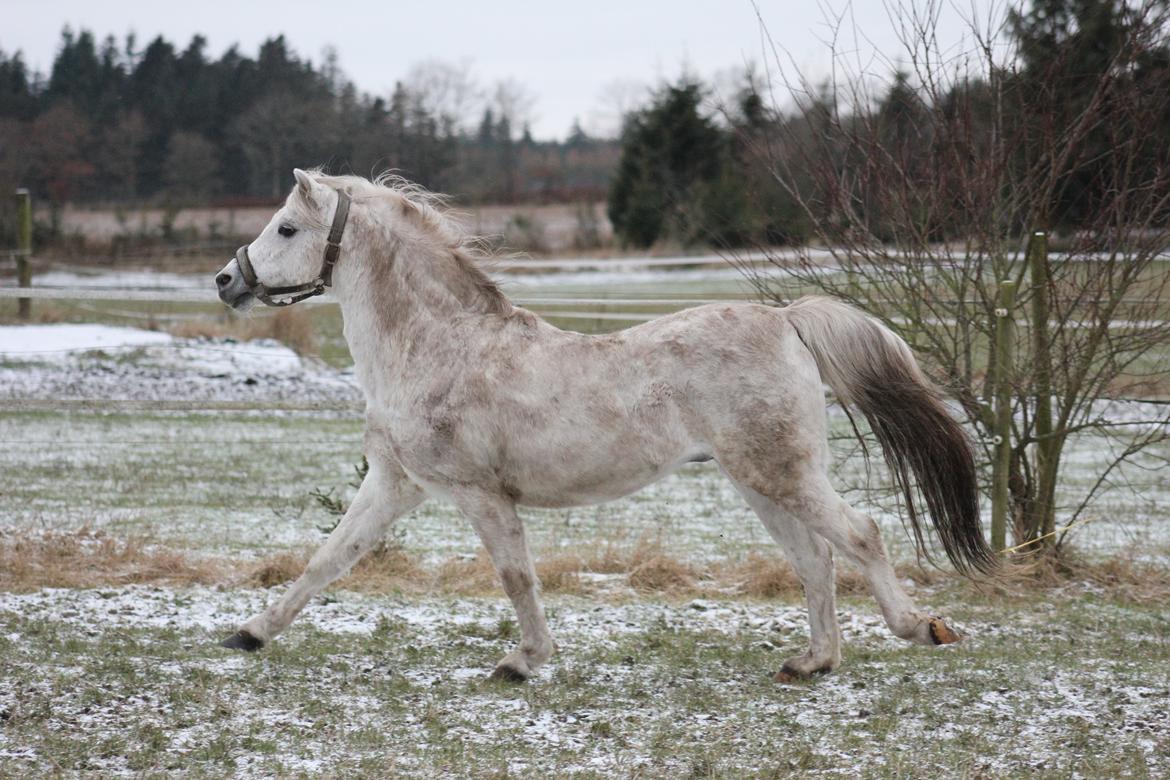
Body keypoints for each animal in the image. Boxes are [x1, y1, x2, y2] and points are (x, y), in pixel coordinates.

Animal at [215, 169, 992, 682]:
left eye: (287, 228)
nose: (227, 281)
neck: (439, 347)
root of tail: (785, 320)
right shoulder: (395, 485)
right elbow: (326, 559)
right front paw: (250, 633)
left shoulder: (478, 494)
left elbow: (516, 577)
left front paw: (523, 661)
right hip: (761, 481)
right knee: (815, 561)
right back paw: (813, 662)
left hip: (781, 475)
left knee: (860, 535)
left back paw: (922, 629)